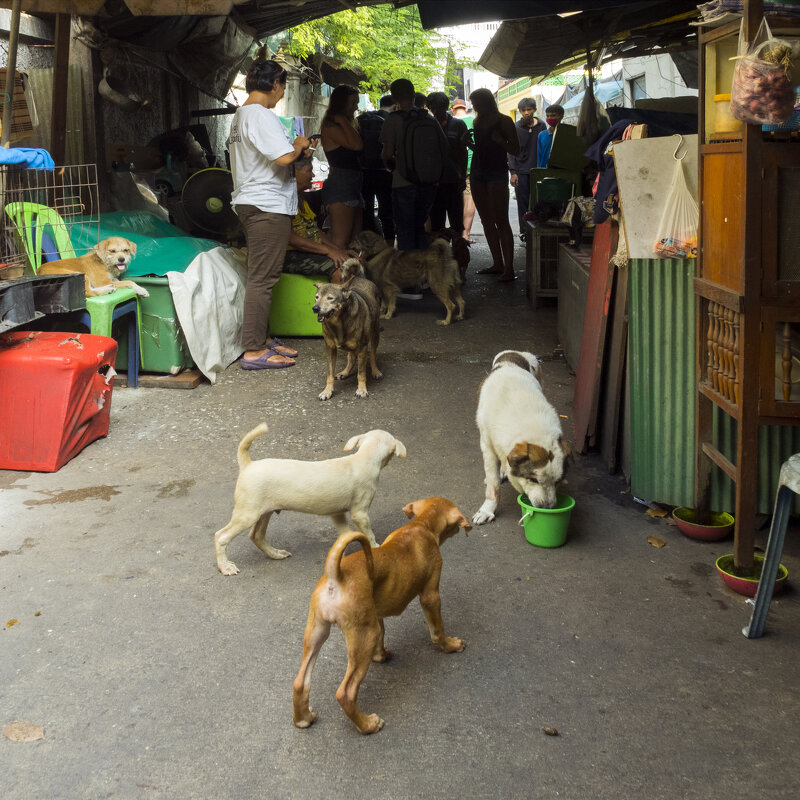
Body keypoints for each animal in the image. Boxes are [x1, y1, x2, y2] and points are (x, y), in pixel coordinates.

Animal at [292, 496, 468, 736]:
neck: (421, 525)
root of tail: (335, 576)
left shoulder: (376, 613)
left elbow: (383, 635)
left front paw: (381, 655)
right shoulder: (430, 596)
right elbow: (437, 630)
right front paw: (450, 645)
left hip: (317, 631)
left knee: (300, 682)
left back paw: (303, 718)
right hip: (364, 635)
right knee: (345, 693)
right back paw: (367, 725)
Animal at [472, 350, 572, 524]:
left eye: (557, 481)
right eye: (533, 479)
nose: (546, 508)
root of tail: (515, 352)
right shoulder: (487, 444)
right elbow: (493, 484)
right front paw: (487, 510)